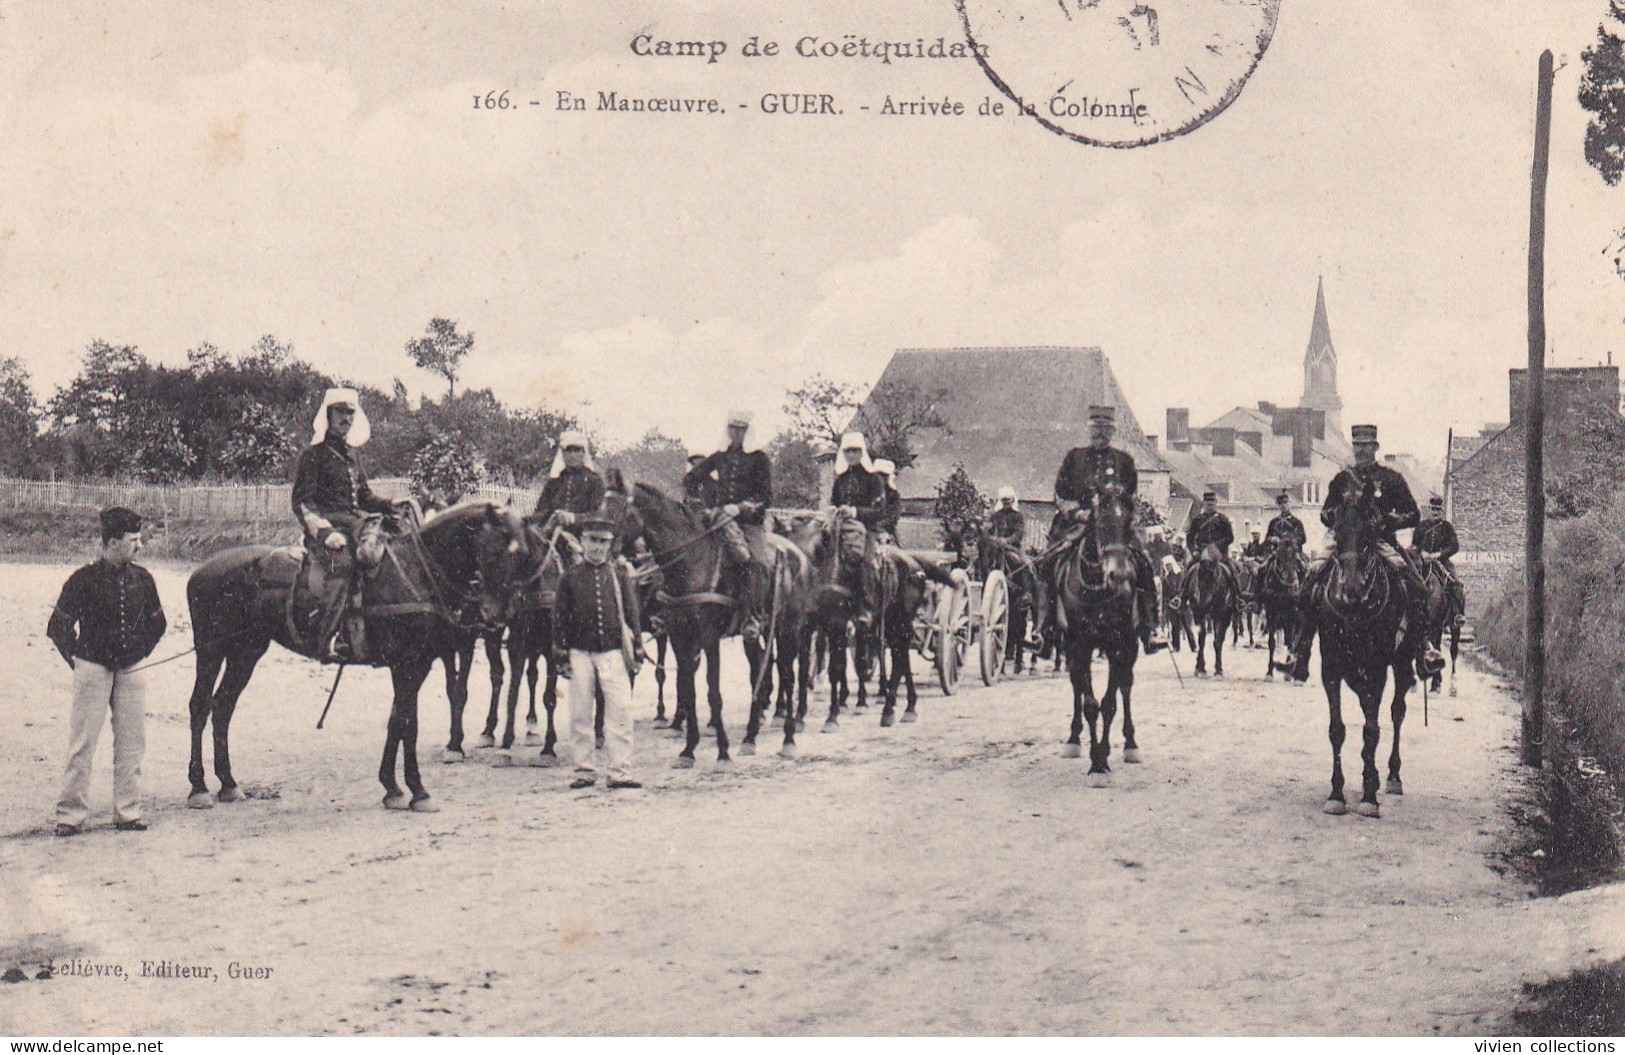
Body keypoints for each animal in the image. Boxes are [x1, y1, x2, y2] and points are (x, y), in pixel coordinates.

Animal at [185, 500, 529, 806]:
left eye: (522, 553)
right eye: (501, 549)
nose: (500, 614)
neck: (417, 572)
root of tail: (201, 572)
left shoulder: (417, 664)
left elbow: (398, 720)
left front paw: (393, 788)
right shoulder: (406, 664)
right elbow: (409, 722)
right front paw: (418, 790)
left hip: (246, 651)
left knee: (222, 706)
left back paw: (228, 784)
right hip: (211, 650)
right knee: (200, 706)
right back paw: (199, 788)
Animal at [1046, 490, 1150, 777]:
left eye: (1127, 522)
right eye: (1098, 522)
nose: (1119, 575)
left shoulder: (1118, 645)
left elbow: (1110, 703)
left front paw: (1104, 756)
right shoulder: (1079, 644)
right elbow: (1090, 703)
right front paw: (1097, 761)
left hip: (1131, 646)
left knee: (1126, 686)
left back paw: (1131, 744)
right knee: (1077, 684)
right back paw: (1073, 739)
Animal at [1189, 542, 1235, 676]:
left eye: (1214, 576)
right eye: (1198, 576)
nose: (1205, 603)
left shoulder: (1223, 616)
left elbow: (1218, 640)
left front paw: (1218, 668)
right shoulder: (1198, 614)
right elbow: (1202, 639)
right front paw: (1200, 667)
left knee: (1219, 639)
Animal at [1254, 539, 1306, 679]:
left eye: (1296, 558)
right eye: (1279, 558)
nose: (1291, 584)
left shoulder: (1293, 614)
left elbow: (1292, 641)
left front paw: (1288, 671)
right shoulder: (1271, 614)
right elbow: (1271, 642)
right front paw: (1269, 672)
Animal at [1300, 477, 1417, 816]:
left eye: (1368, 533)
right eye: (1338, 532)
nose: (1351, 589)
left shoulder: (1377, 668)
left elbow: (1371, 730)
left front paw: (1368, 797)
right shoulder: (1331, 666)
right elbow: (1337, 729)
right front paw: (1337, 793)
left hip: (1402, 662)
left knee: (1395, 713)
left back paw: (1391, 777)